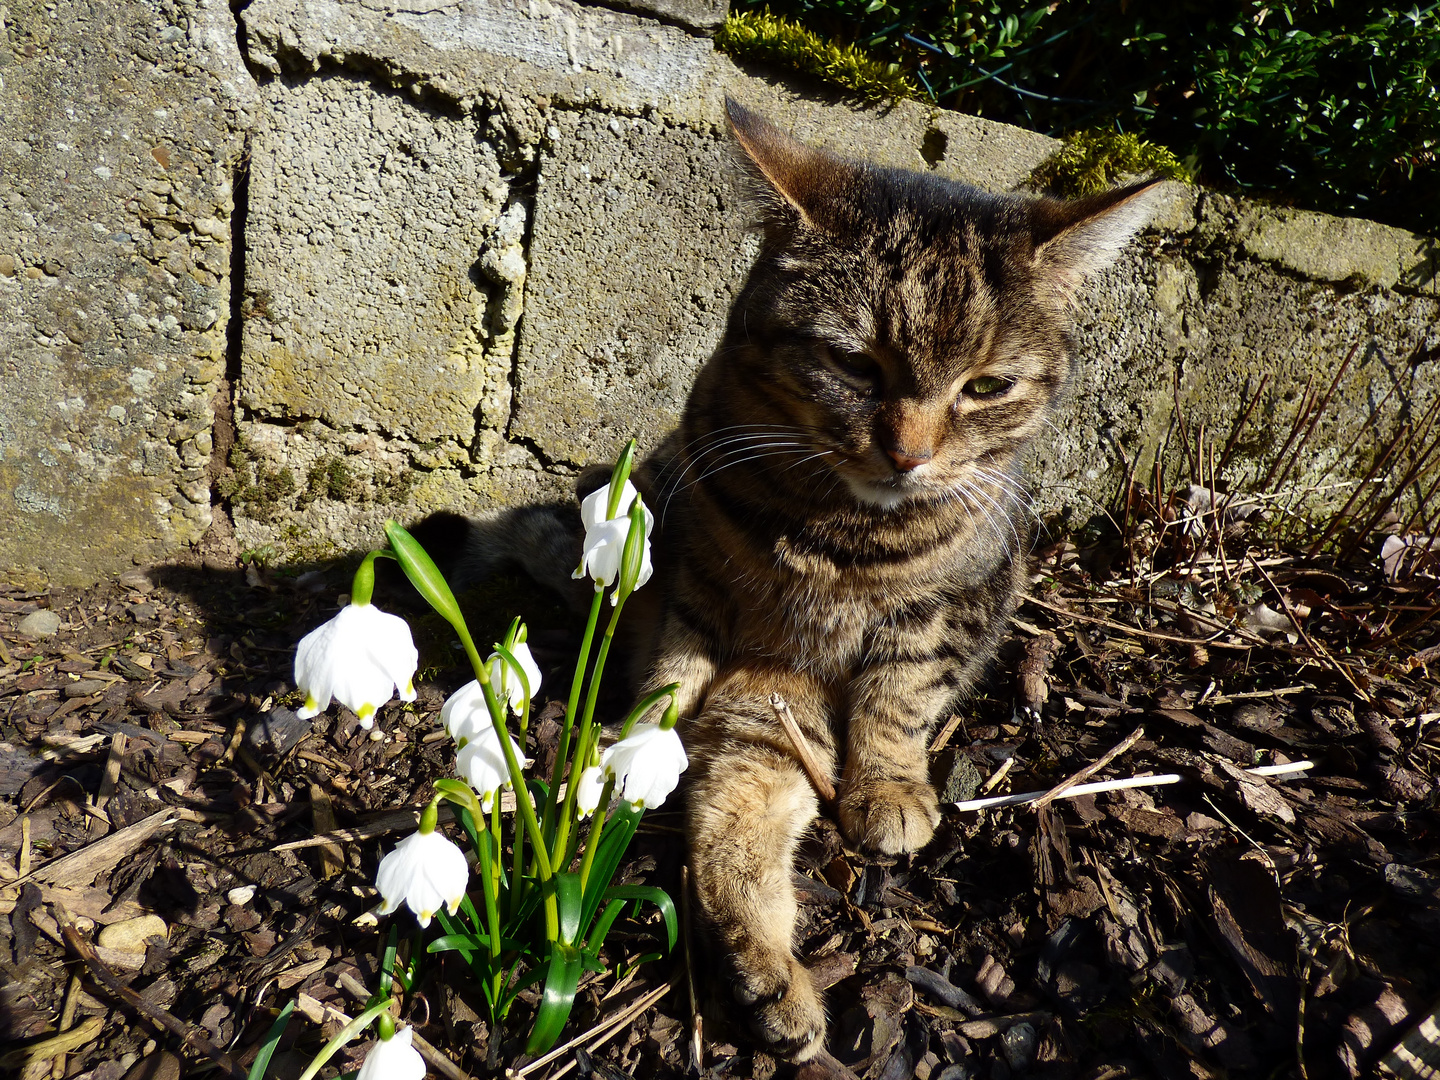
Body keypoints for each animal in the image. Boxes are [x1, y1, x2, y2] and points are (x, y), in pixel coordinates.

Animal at [437, 97, 1157, 1059]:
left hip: (780, 720)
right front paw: (633, 733)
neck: (837, 536)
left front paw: (888, 789)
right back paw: (769, 978)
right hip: (759, 707)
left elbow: (900, 698)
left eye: (986, 386)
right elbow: (668, 674)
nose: (910, 454)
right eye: (857, 365)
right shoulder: (693, 576)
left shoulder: (946, 612)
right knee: (725, 836)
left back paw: (776, 985)